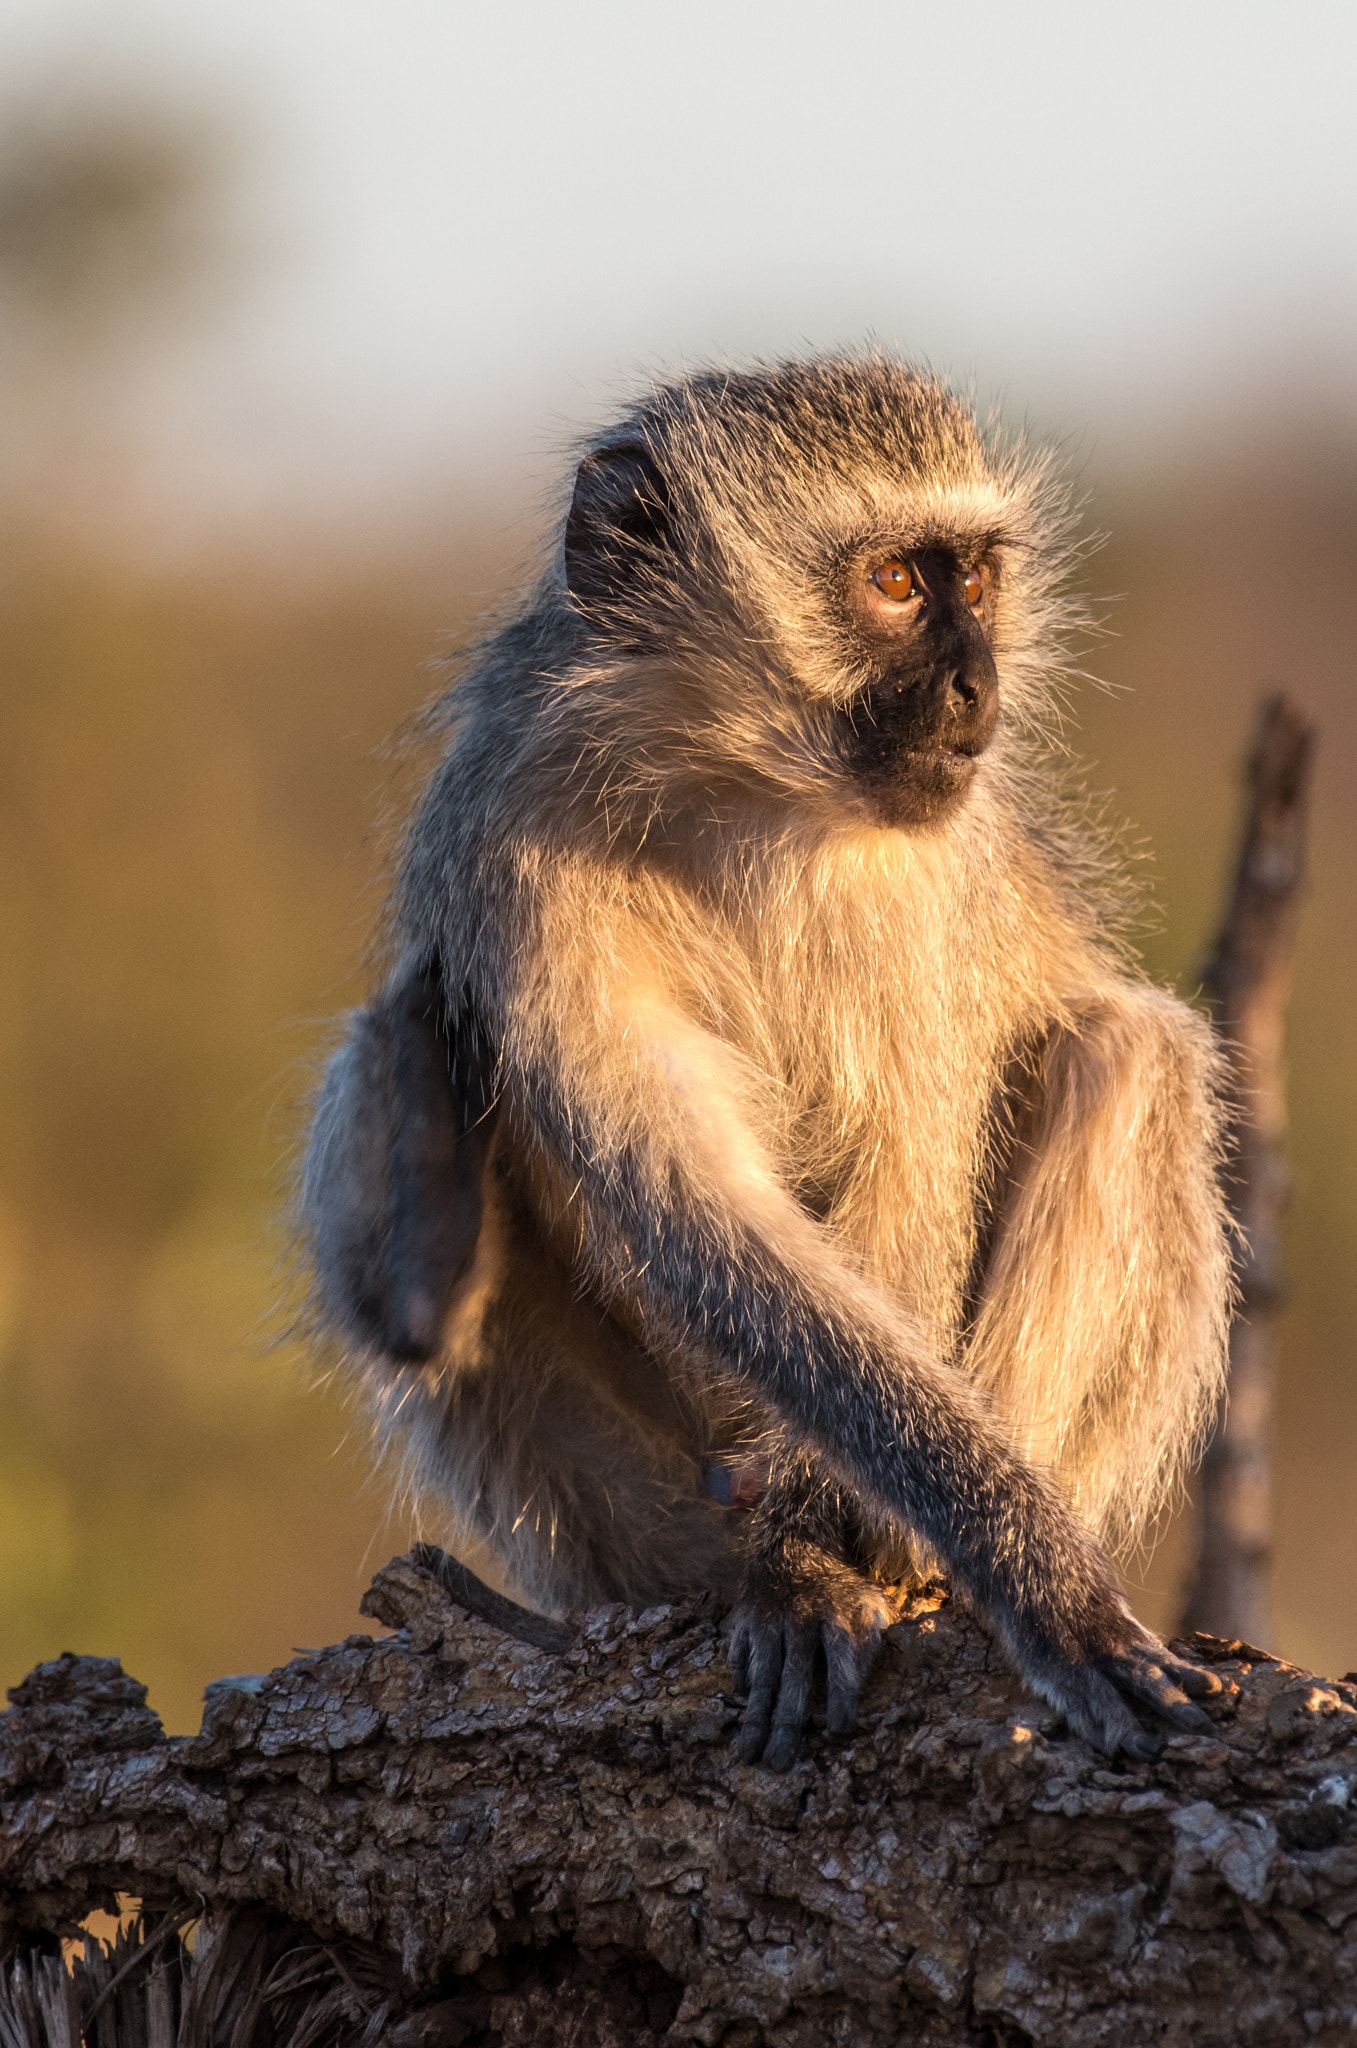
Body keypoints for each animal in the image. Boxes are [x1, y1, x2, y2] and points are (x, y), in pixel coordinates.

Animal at [301, 353, 1234, 1770]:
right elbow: (690, 1198)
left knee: (1134, 1058)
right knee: (412, 1193)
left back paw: (908, 1554)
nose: (978, 686)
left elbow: (908, 1175)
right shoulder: (518, 830)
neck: (740, 781)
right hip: (640, 1503)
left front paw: (1010, 1570)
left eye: (977, 579)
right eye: (895, 582)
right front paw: (807, 1566)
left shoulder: (925, 872)